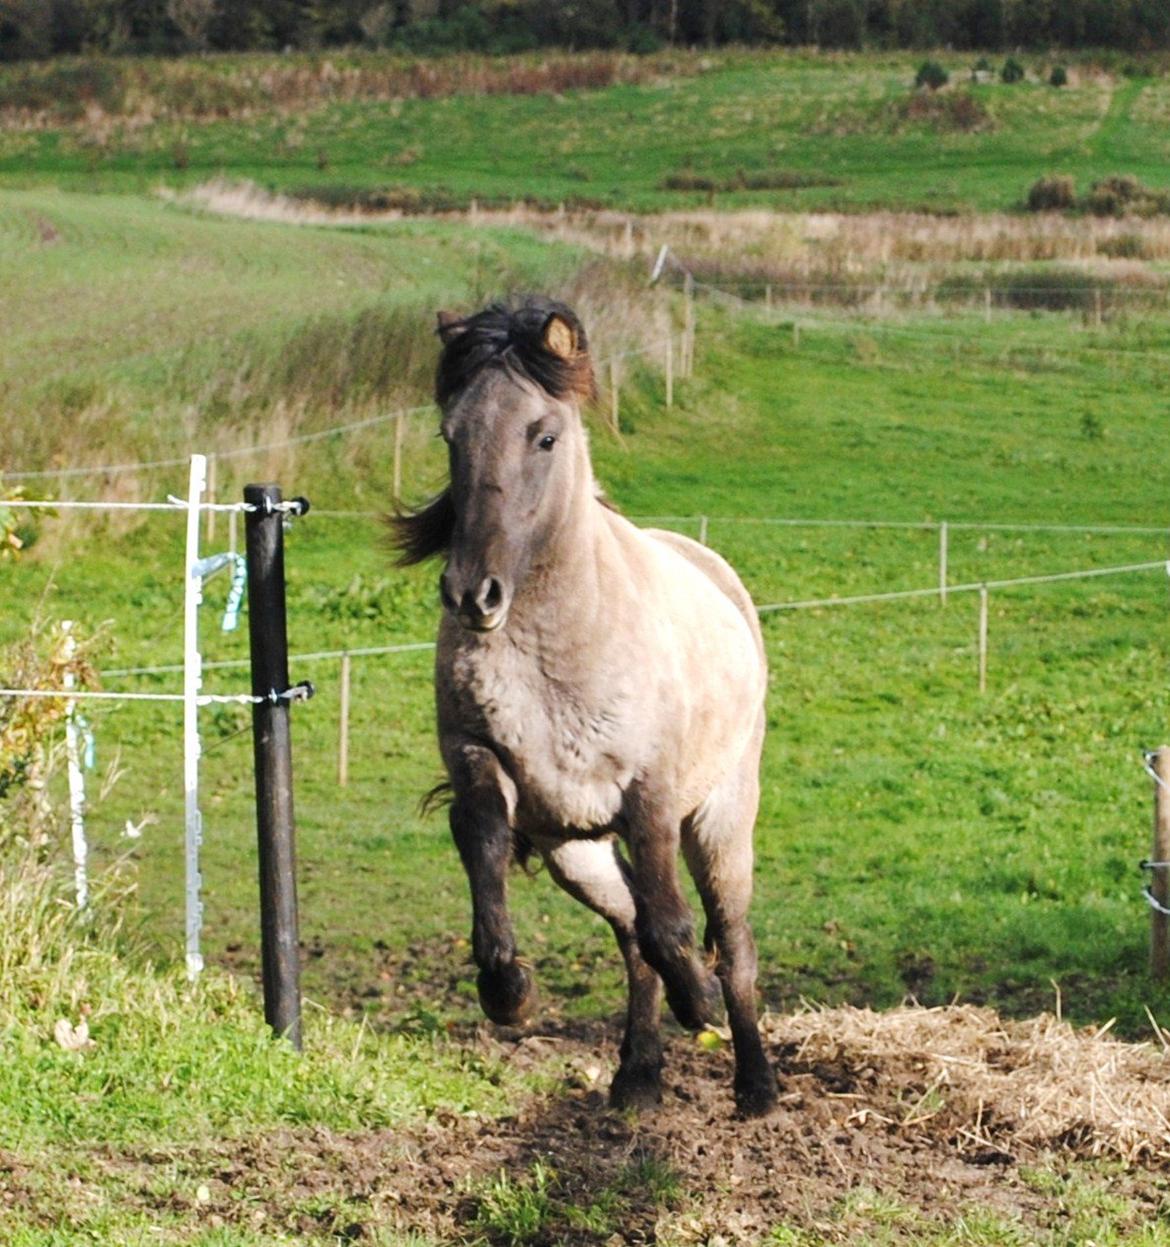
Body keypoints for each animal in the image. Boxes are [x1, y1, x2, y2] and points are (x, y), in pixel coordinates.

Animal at [391, 296, 773, 1117]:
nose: (472, 595)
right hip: (578, 848)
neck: (556, 647)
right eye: (450, 435)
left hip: (719, 820)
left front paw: (699, 1003)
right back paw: (637, 1078)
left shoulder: (651, 795)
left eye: (544, 435)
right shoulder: (481, 759)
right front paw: (506, 989)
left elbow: (672, 921)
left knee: (732, 941)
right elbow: (483, 841)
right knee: (630, 936)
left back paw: (755, 1082)